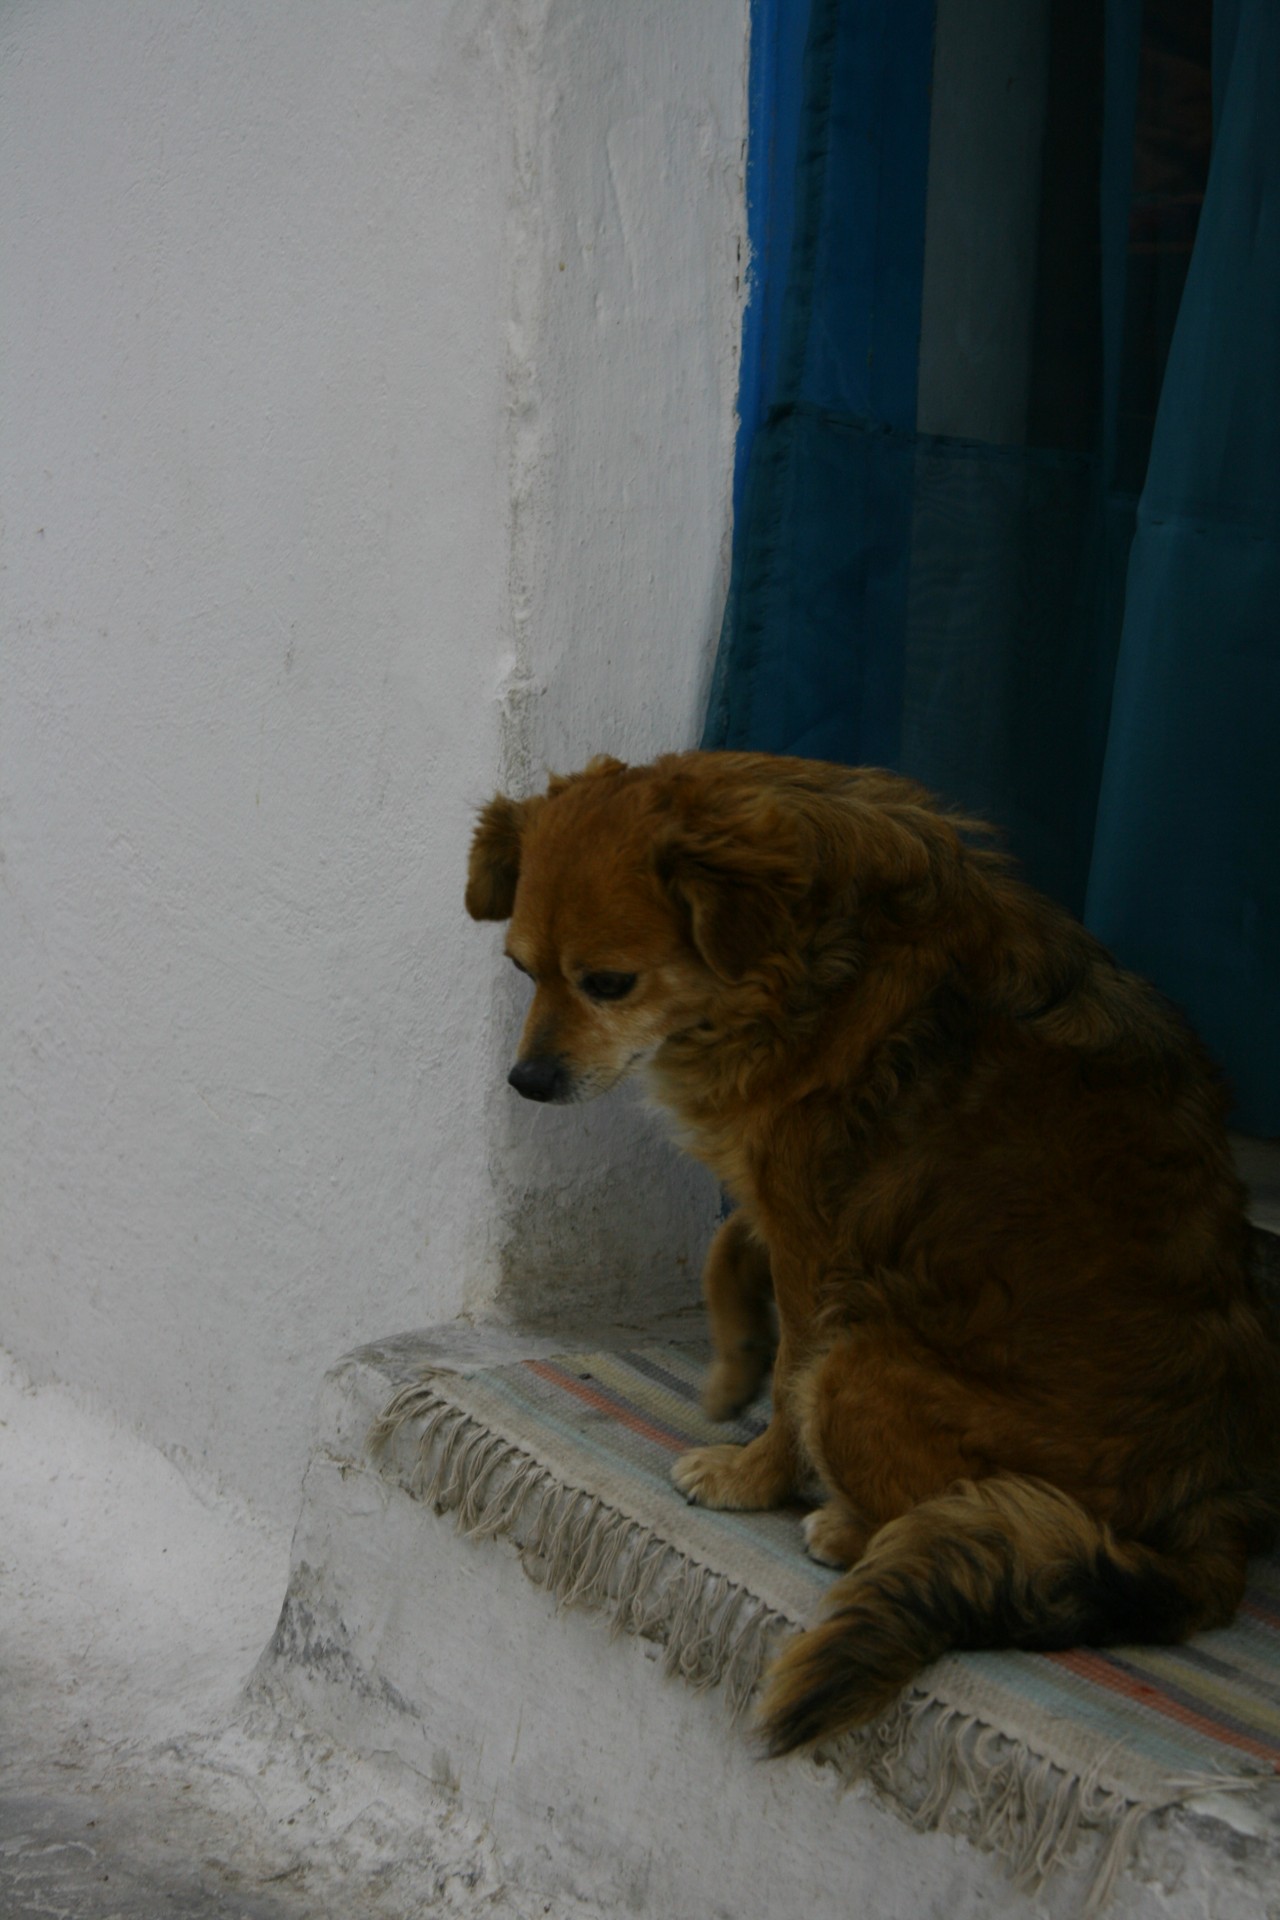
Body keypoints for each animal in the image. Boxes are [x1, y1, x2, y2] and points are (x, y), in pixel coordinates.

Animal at [468, 748, 1280, 1758]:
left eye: (608, 983)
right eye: (521, 967)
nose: (526, 1082)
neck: (812, 948)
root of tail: (1214, 1517)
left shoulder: (818, 1236)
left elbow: (791, 1372)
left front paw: (753, 1474)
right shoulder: (786, 1187)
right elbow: (729, 1242)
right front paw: (732, 1363)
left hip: (863, 1370)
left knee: (951, 1510)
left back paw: (844, 1527)